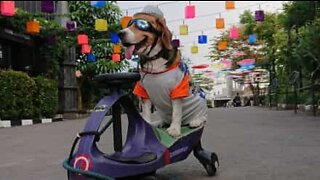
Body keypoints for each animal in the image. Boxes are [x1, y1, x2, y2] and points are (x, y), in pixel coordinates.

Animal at [118, 5, 208, 138]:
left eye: (141, 25)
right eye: (128, 25)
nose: (120, 33)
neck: (154, 59)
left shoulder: (177, 90)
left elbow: (176, 113)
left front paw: (174, 129)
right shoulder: (144, 92)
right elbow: (146, 114)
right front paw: (148, 126)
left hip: (201, 104)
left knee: (203, 117)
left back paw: (195, 121)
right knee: (164, 121)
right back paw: (157, 123)